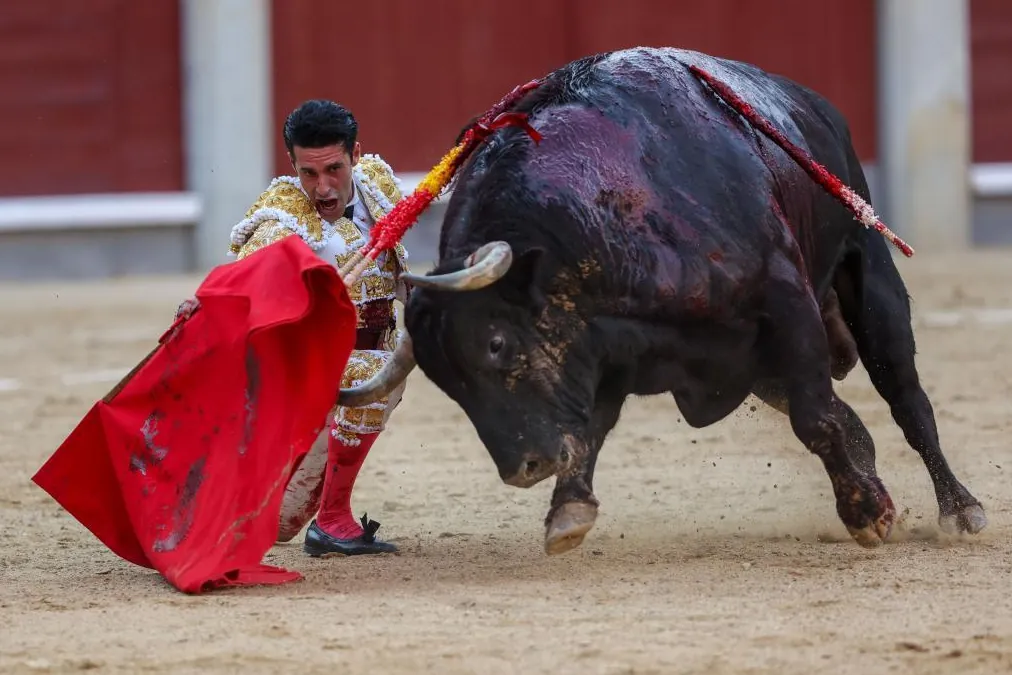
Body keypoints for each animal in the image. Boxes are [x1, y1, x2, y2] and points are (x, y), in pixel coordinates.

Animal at [335, 46, 983, 554]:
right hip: (766, 370)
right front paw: (568, 513)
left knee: (906, 399)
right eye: (446, 384)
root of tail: (812, 105)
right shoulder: (605, 347)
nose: (523, 470)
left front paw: (867, 515)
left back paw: (960, 509)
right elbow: (591, 427)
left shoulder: (786, 302)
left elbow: (816, 419)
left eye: (495, 344)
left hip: (869, 276)